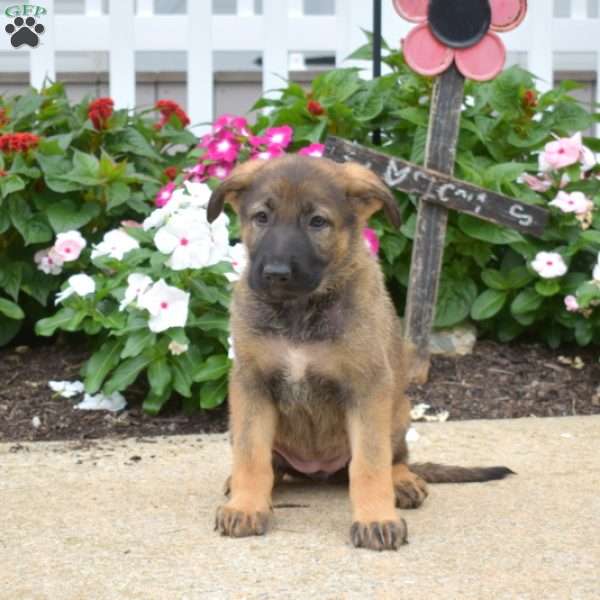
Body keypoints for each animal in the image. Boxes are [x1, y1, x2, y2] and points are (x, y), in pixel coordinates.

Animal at [206, 156, 510, 552]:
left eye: (317, 222)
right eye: (261, 217)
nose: (275, 274)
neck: (300, 311)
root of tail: (317, 470)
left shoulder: (367, 387)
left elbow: (369, 464)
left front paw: (376, 519)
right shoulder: (251, 384)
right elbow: (251, 455)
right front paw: (245, 507)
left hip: (399, 410)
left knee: (395, 459)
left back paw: (403, 482)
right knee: (273, 467)